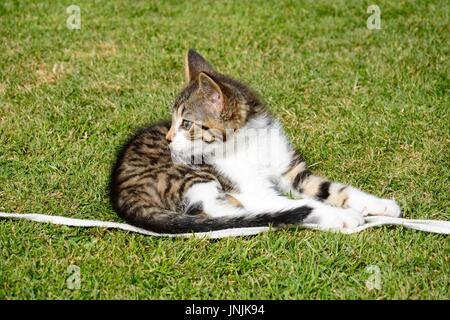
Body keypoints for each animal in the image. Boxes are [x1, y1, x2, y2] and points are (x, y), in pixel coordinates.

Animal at [110, 50, 400, 235]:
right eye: (173, 121)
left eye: (187, 124)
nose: (169, 139)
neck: (250, 144)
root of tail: (120, 192)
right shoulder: (252, 188)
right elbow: (299, 203)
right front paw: (342, 216)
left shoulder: (292, 173)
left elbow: (333, 189)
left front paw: (380, 204)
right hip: (191, 174)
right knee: (219, 211)